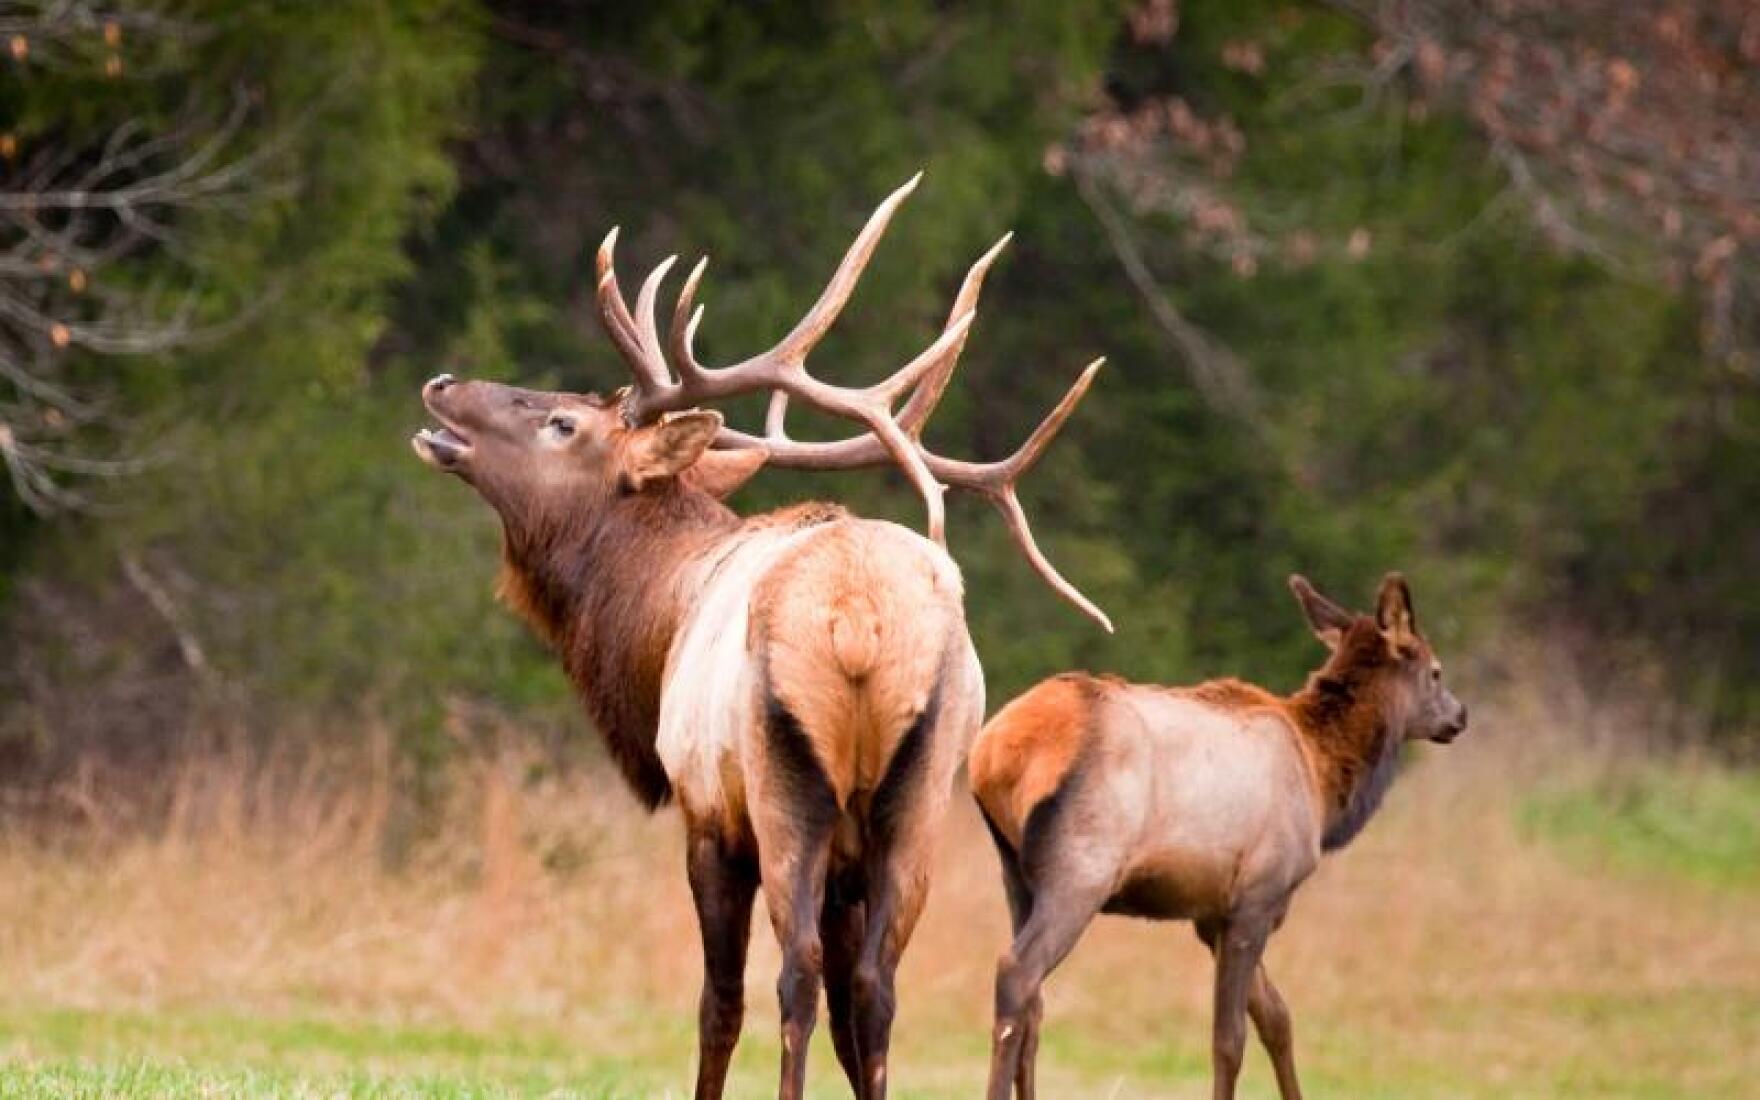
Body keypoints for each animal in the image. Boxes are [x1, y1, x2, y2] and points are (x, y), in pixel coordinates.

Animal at [409, 174, 1111, 1100]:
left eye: (563, 423)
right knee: (874, 986)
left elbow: (718, 1002)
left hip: (785, 785)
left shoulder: (706, 816)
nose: (441, 383)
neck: (654, 626)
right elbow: (854, 1015)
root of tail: (858, 621)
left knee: (796, 975)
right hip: (920, 795)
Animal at [969, 573, 1469, 1100]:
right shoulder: (1258, 896)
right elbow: (1230, 1038)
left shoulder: (1212, 914)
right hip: (1082, 869)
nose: (1460, 715)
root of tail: (994, 753)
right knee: (1018, 973)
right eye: (1436, 671)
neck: (1323, 781)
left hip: (1015, 872)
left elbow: (1277, 1017)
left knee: (1035, 1003)